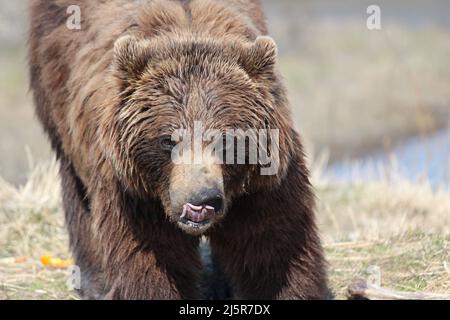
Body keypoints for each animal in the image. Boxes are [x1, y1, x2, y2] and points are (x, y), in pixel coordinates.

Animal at [29, 0, 328, 300]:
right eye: (168, 140)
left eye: (226, 140)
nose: (202, 199)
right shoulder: (133, 190)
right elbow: (152, 257)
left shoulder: (262, 181)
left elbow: (273, 246)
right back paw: (94, 282)